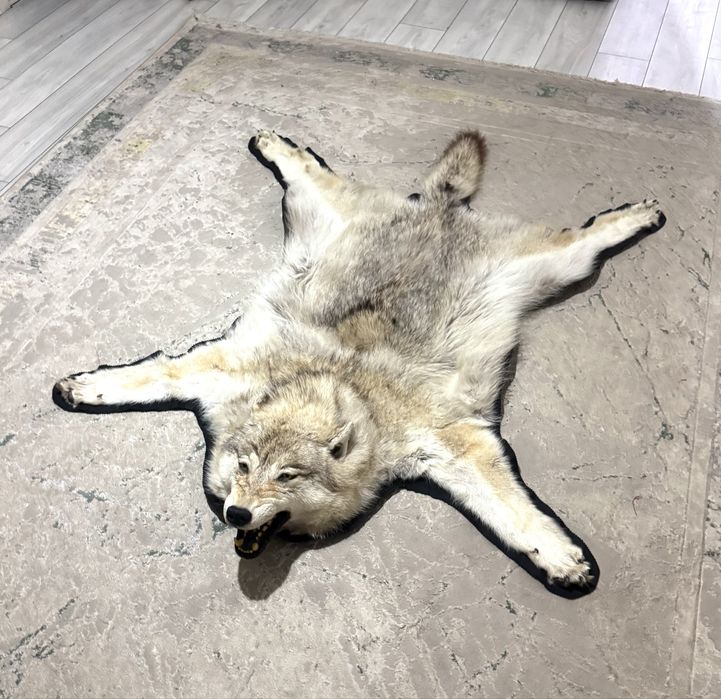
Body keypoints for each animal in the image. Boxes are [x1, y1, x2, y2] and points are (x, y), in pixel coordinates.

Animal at [54, 129, 664, 591]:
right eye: (243, 468)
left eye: (287, 477)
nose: (236, 515)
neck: (338, 384)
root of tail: (439, 208)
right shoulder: (219, 367)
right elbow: (142, 376)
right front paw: (80, 389)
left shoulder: (457, 440)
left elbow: (517, 517)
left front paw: (562, 559)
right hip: (310, 212)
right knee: (305, 166)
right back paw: (272, 141)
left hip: (560, 266)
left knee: (590, 234)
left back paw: (638, 216)